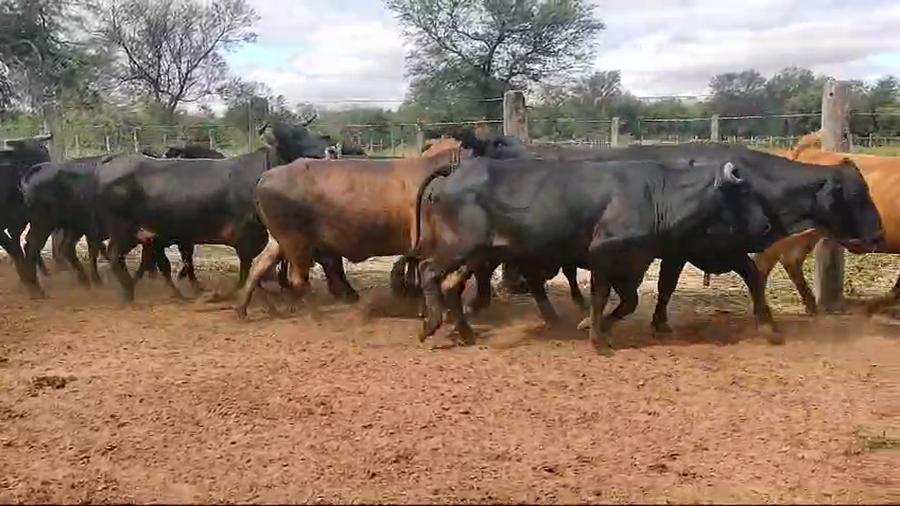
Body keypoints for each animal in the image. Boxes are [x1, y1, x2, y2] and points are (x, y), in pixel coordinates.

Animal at [90, 119, 331, 303]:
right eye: (293, 137)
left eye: (306, 132)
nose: (326, 150)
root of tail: (115, 159)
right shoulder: (248, 233)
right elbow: (247, 267)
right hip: (123, 228)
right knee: (115, 255)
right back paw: (129, 292)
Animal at [232, 138, 464, 318]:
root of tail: (265, 177)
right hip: (296, 241)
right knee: (297, 279)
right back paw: (319, 314)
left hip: (281, 240)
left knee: (259, 267)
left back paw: (244, 310)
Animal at [407, 146, 884, 354]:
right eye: (858, 195)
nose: (879, 235)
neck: (657, 192)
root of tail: (458, 167)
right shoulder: (611, 253)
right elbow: (611, 294)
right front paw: (597, 334)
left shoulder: (643, 258)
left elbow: (634, 298)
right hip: (462, 247)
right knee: (430, 272)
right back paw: (432, 324)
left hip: (481, 253)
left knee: (453, 286)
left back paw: (465, 330)